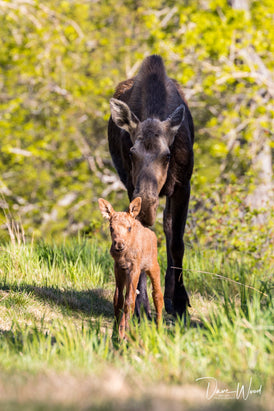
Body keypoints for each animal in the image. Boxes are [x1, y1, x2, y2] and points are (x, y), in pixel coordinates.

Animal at [98, 198, 163, 340]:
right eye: (111, 227)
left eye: (128, 228)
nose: (119, 245)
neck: (123, 255)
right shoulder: (118, 267)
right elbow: (118, 299)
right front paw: (115, 332)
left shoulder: (135, 268)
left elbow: (129, 301)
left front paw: (124, 334)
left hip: (152, 265)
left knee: (157, 294)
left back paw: (159, 329)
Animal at [108, 55, 194, 318]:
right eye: (131, 152)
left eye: (167, 155)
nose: (147, 203)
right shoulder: (131, 185)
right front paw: (140, 304)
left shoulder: (183, 185)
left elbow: (177, 242)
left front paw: (179, 301)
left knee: (168, 228)